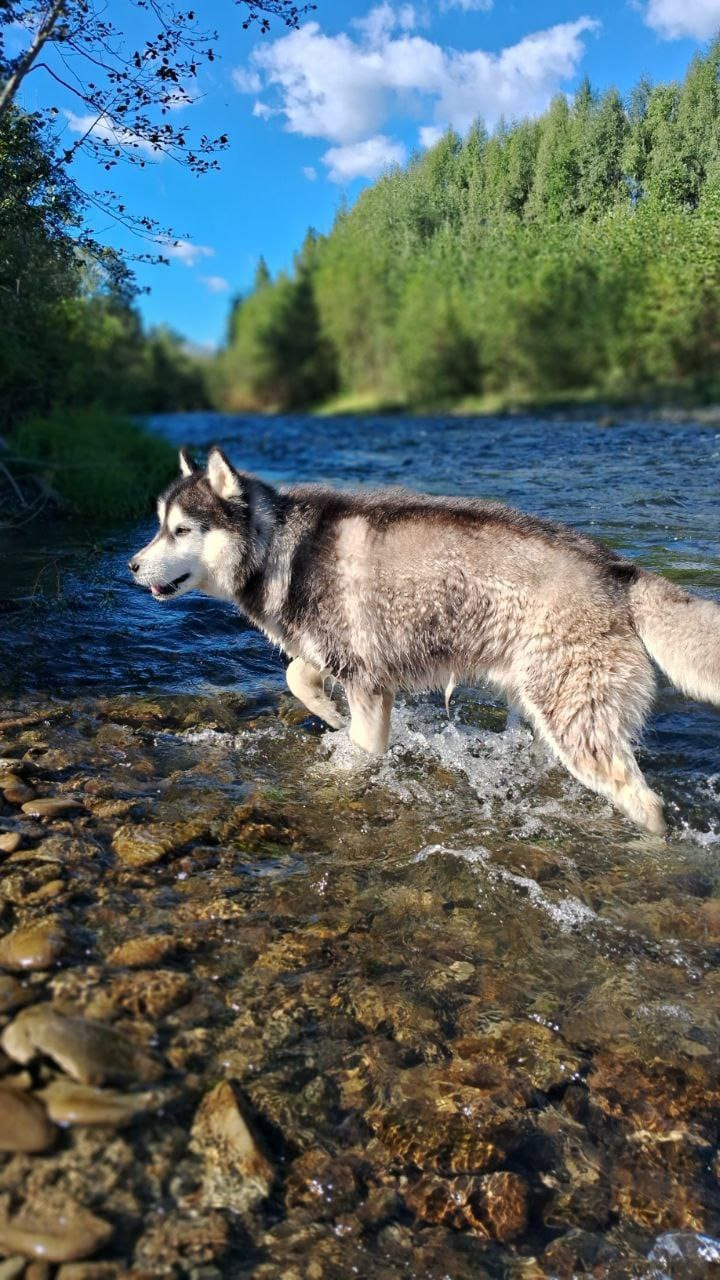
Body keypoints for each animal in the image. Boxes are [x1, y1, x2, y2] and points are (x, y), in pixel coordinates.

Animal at [128, 445, 717, 834]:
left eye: (181, 530)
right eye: (157, 525)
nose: (131, 566)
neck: (283, 550)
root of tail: (619, 570)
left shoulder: (369, 682)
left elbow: (362, 751)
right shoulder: (335, 655)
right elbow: (297, 674)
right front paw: (326, 710)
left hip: (577, 721)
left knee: (648, 805)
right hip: (543, 703)